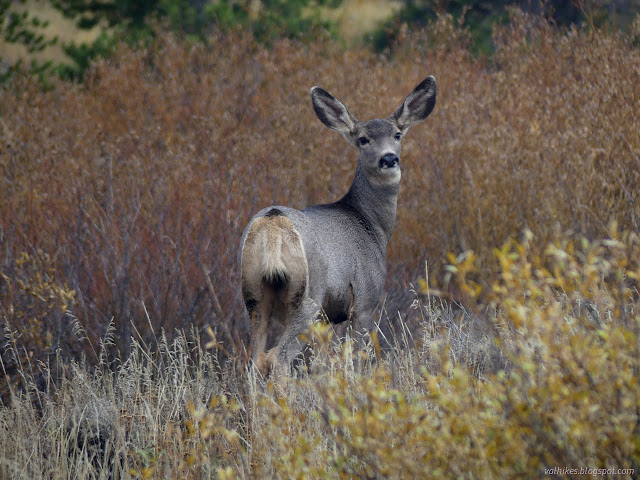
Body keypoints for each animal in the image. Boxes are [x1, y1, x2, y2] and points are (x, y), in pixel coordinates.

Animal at [239, 76, 436, 376]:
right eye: (363, 139)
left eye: (397, 135)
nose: (389, 158)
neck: (372, 226)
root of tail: (273, 223)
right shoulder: (365, 299)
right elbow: (355, 358)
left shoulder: (326, 319)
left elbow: (323, 363)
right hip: (307, 296)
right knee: (278, 357)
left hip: (253, 294)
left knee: (255, 359)